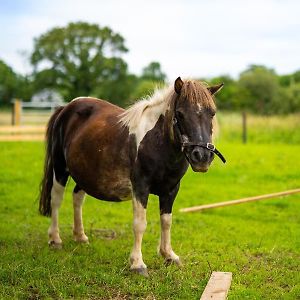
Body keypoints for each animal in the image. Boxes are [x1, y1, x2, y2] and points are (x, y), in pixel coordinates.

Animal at [38, 77, 225, 276]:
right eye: (180, 114)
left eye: (212, 113)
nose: (202, 157)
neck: (157, 142)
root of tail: (65, 108)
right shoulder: (140, 187)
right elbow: (139, 224)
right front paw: (137, 264)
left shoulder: (171, 189)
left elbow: (166, 221)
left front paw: (169, 255)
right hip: (60, 168)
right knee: (56, 199)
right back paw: (55, 239)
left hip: (84, 172)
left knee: (77, 198)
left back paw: (80, 236)